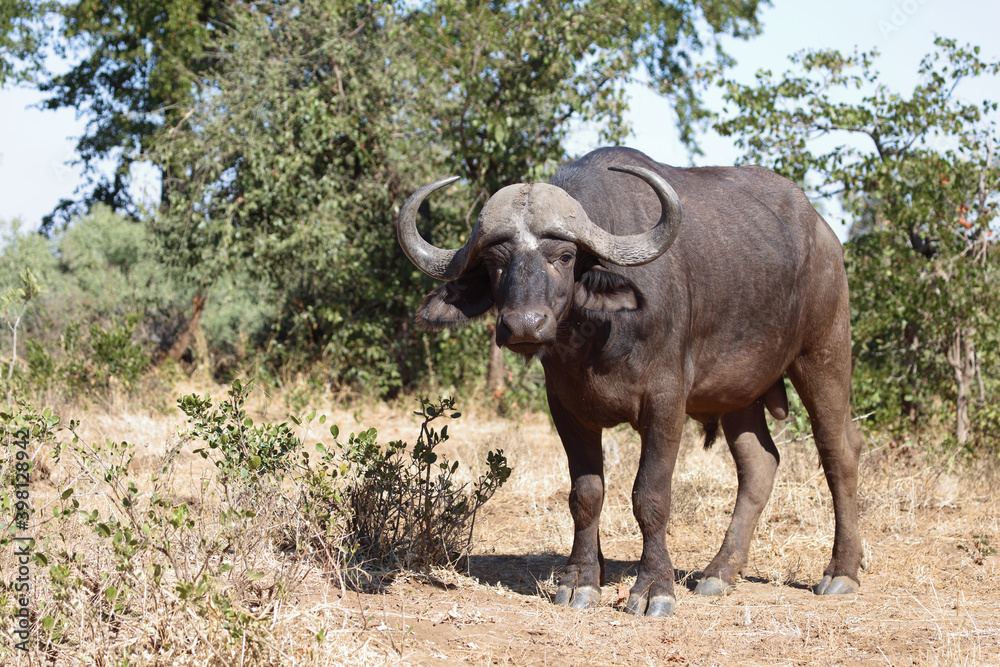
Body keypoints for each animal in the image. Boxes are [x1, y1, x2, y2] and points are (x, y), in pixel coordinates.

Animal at [396, 146, 863, 616]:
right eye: (495, 262)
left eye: (564, 256)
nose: (524, 324)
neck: (593, 340)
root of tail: (825, 236)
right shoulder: (565, 408)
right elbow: (585, 495)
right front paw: (581, 579)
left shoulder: (666, 404)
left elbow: (650, 496)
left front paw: (654, 587)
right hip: (738, 395)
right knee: (759, 464)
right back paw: (719, 573)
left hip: (824, 353)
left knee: (838, 451)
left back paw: (841, 572)